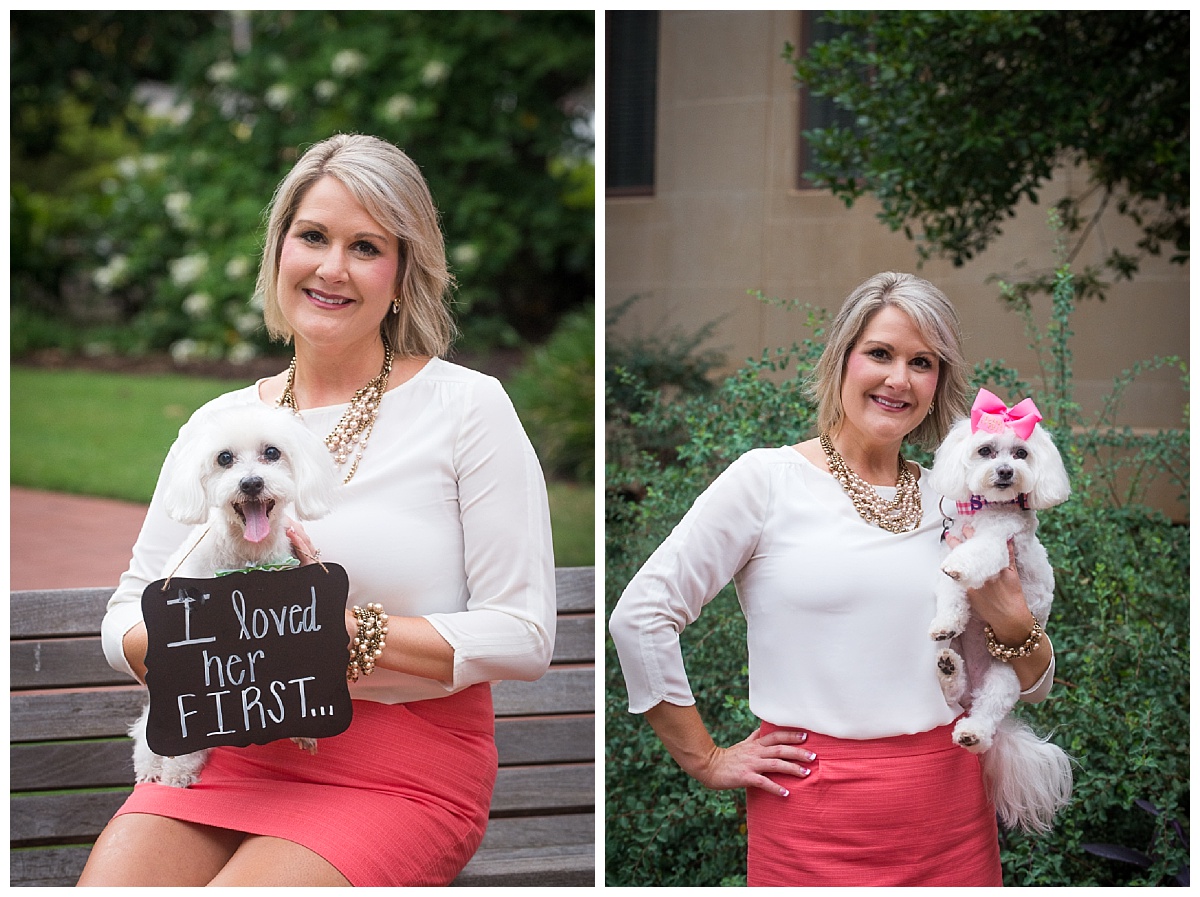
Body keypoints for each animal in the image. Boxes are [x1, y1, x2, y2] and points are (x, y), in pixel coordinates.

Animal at [129, 402, 340, 786]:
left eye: (272, 452)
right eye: (224, 458)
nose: (251, 483)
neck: (247, 559)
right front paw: (178, 770)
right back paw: (159, 767)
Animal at [921, 386, 1075, 834]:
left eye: (1021, 453)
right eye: (986, 450)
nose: (1006, 472)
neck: (987, 509)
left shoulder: (1000, 542)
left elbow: (974, 558)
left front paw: (962, 566)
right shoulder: (951, 545)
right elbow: (950, 591)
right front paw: (945, 621)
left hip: (1004, 680)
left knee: (986, 715)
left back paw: (973, 733)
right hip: (964, 667)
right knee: (954, 687)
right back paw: (949, 670)